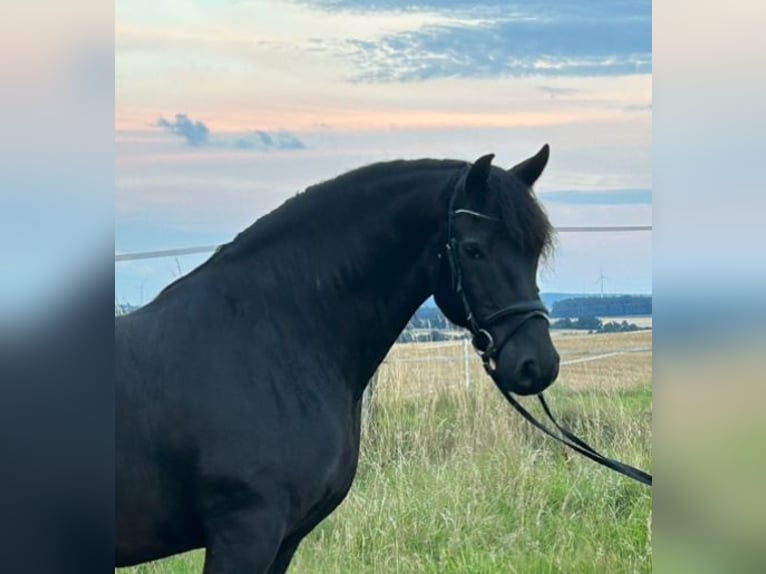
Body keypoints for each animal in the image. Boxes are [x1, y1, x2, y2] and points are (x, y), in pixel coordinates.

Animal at [114, 145, 560, 572]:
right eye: (473, 250)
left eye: (535, 250)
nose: (537, 364)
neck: (268, 339)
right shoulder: (246, 533)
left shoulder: (286, 539)